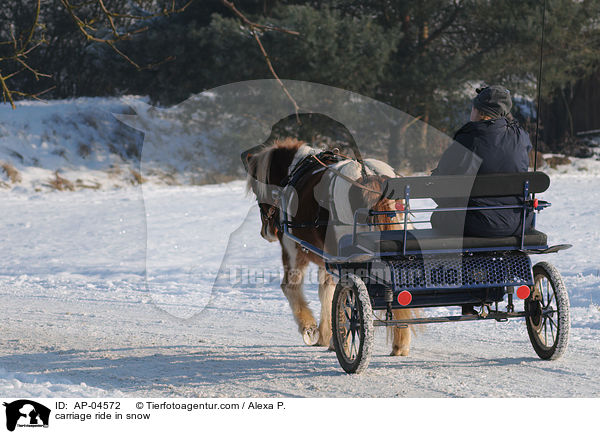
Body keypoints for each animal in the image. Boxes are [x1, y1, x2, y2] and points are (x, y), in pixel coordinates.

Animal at [246, 137, 414, 354]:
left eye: (256, 189)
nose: (265, 232)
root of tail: (368, 176)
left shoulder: (292, 249)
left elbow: (291, 286)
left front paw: (311, 329)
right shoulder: (327, 259)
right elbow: (327, 291)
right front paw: (328, 335)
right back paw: (400, 343)